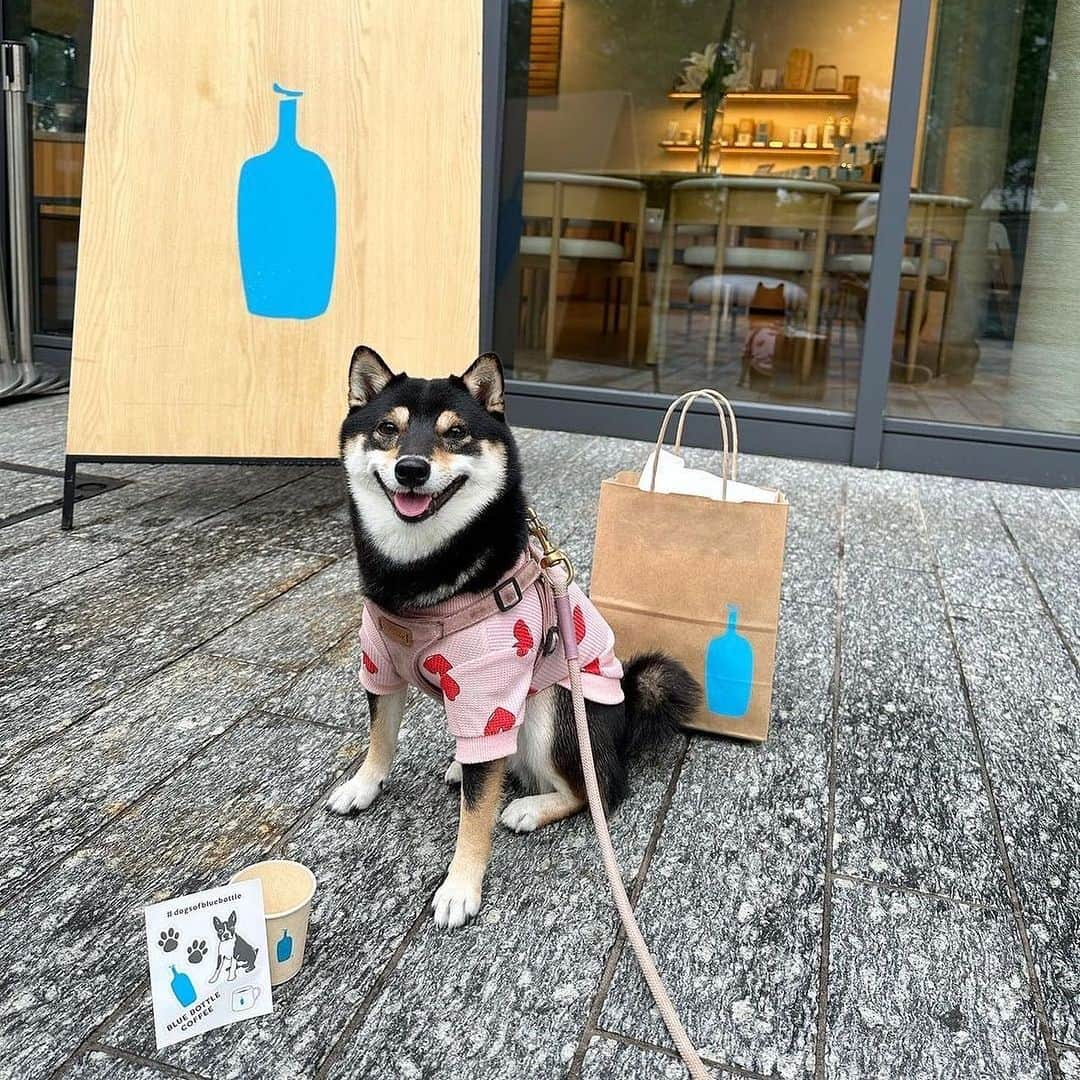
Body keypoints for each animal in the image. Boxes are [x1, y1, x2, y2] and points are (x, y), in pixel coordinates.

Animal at [328, 345, 699, 928]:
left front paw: (460, 887)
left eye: (456, 433)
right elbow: (381, 737)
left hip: (554, 706)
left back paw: (528, 805)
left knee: (600, 789)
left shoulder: (490, 695)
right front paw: (364, 786)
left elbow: (476, 816)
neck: (417, 576)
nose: (411, 469)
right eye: (388, 429)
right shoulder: (380, 666)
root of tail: (624, 720)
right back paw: (463, 765)